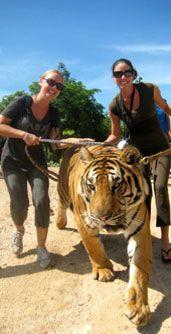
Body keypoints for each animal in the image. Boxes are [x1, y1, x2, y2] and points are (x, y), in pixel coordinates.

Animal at [56, 145, 152, 328]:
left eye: (117, 186)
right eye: (91, 186)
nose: (102, 217)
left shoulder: (140, 230)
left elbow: (140, 270)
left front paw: (138, 308)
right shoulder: (84, 221)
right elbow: (93, 248)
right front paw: (104, 271)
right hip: (63, 191)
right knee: (60, 204)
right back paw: (60, 222)